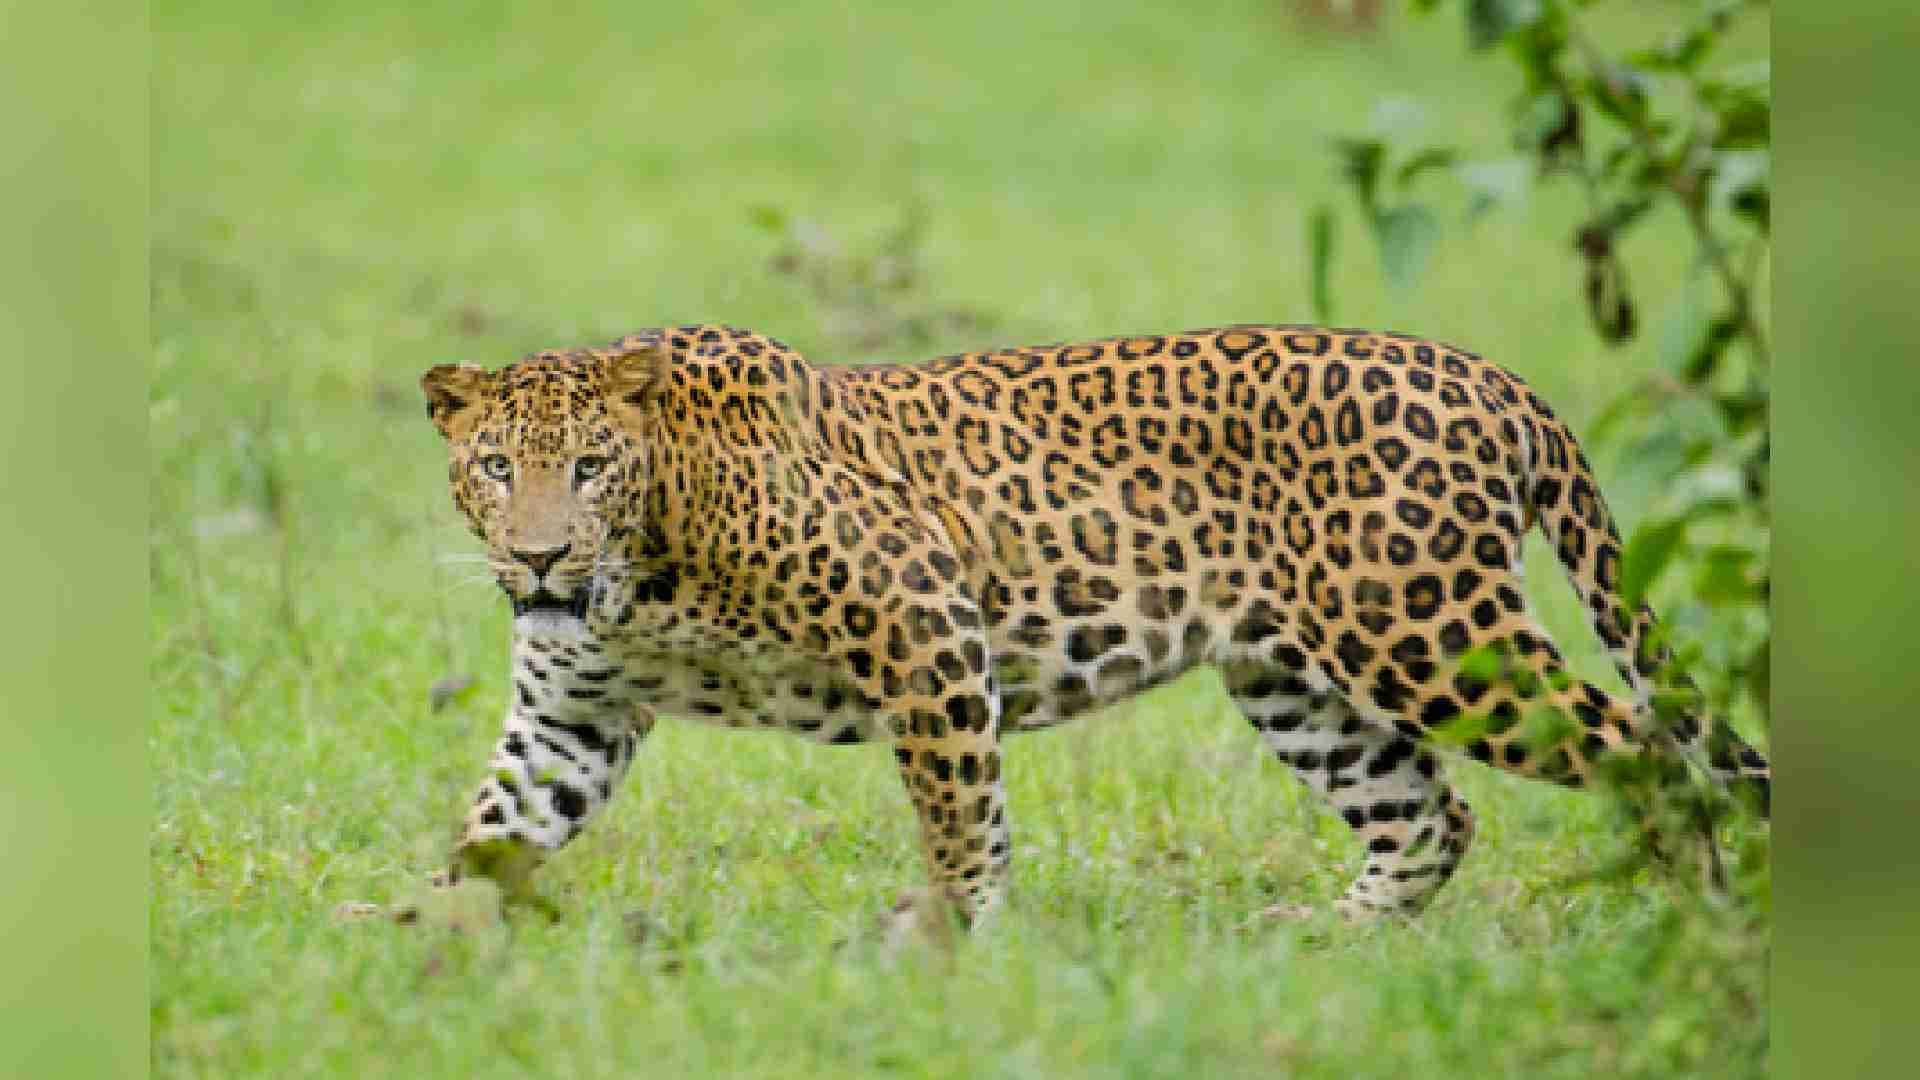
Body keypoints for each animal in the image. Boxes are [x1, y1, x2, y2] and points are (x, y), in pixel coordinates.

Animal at [420, 323, 1770, 925]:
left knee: (1649, 754)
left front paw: (949, 945)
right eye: (494, 468)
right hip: (1296, 680)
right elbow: (492, 829)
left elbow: (960, 816)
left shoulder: (925, 621)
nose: (539, 555)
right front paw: (414, 954)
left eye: (589, 467)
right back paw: (1327, 945)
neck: (643, 569)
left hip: (1429, 635)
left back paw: (1700, 923)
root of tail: (1493, 377)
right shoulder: (572, 716)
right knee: (1430, 814)